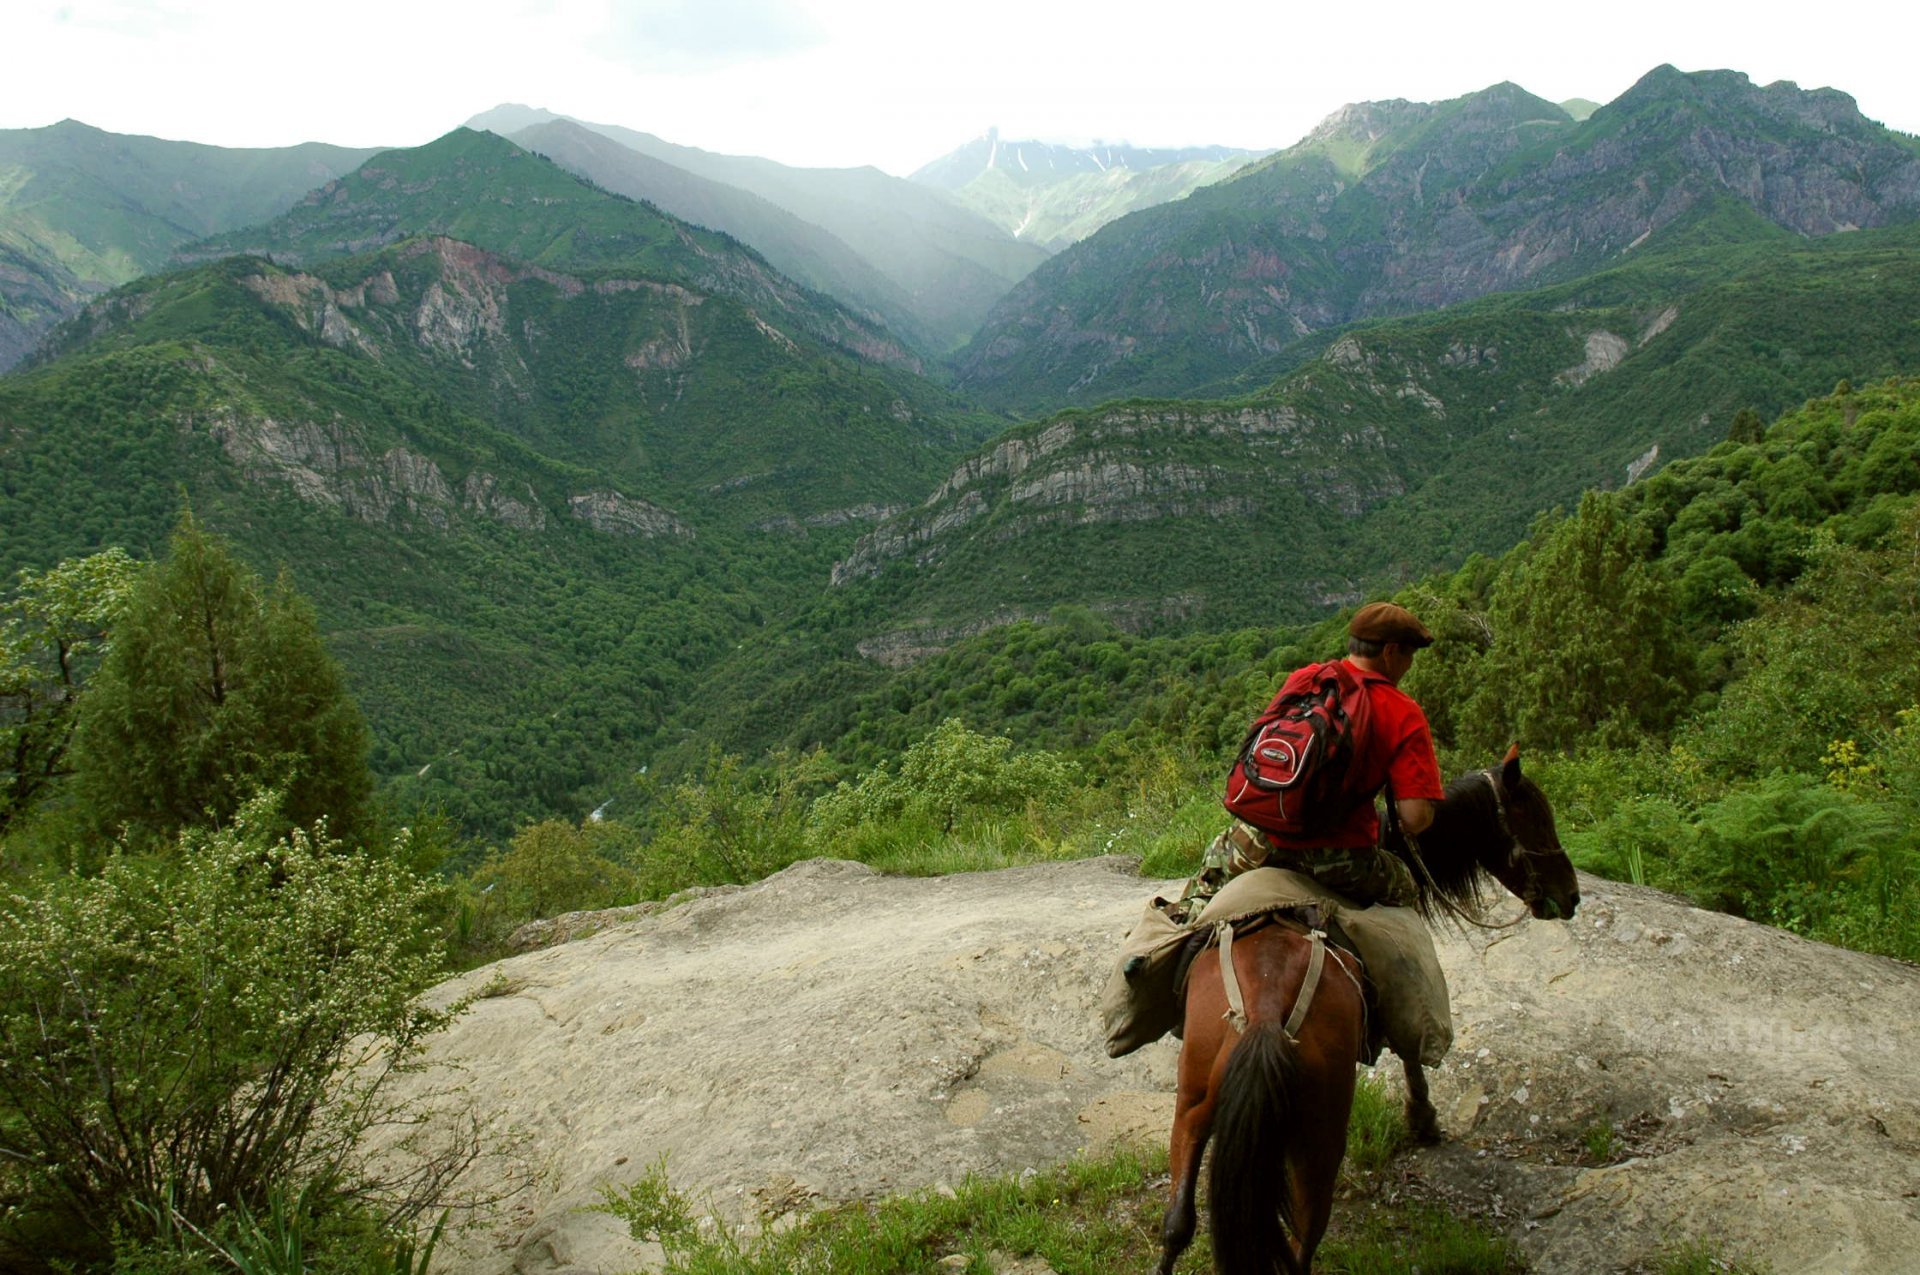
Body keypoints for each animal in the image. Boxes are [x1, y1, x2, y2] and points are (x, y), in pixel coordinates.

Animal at [1152, 748, 1574, 1275]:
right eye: (1536, 817)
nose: (1572, 895)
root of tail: (1268, 1013)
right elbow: (1410, 1053)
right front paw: (1424, 1119)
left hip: (1193, 1104)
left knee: (1177, 1221)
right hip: (1320, 1138)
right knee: (1302, 1243)